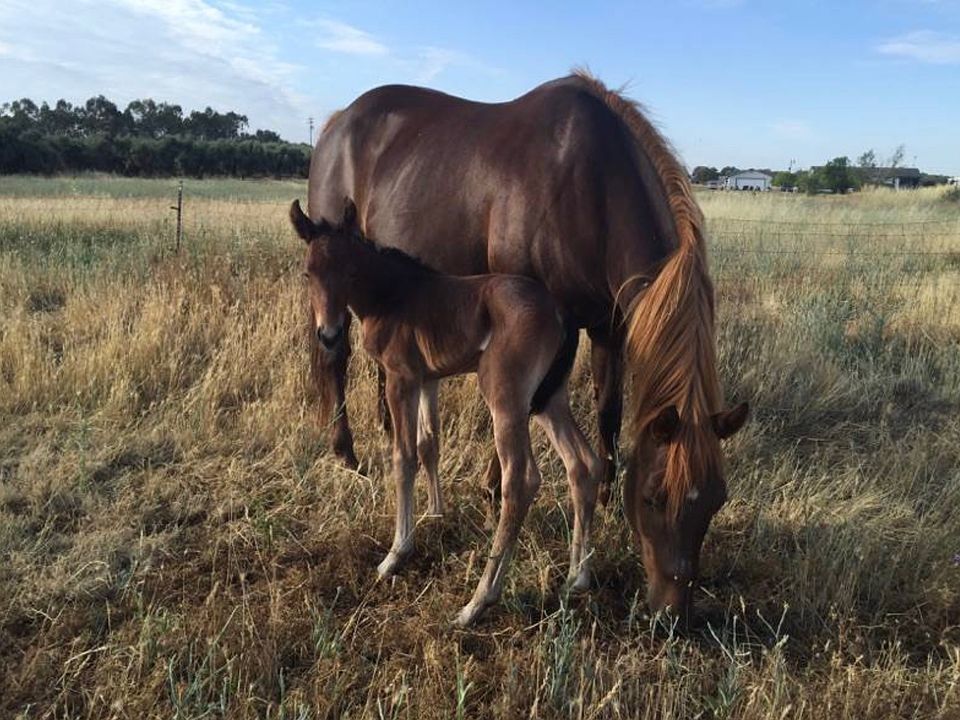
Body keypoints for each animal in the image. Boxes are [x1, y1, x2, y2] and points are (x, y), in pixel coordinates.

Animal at [291, 197, 602, 626]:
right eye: (308, 273)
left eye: (350, 270)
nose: (329, 334)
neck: (392, 294)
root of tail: (558, 310)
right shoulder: (428, 379)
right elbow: (429, 444)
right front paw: (434, 515)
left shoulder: (400, 378)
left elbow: (403, 456)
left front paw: (396, 554)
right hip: (548, 398)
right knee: (582, 463)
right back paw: (577, 577)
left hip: (505, 396)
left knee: (520, 482)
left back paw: (478, 602)